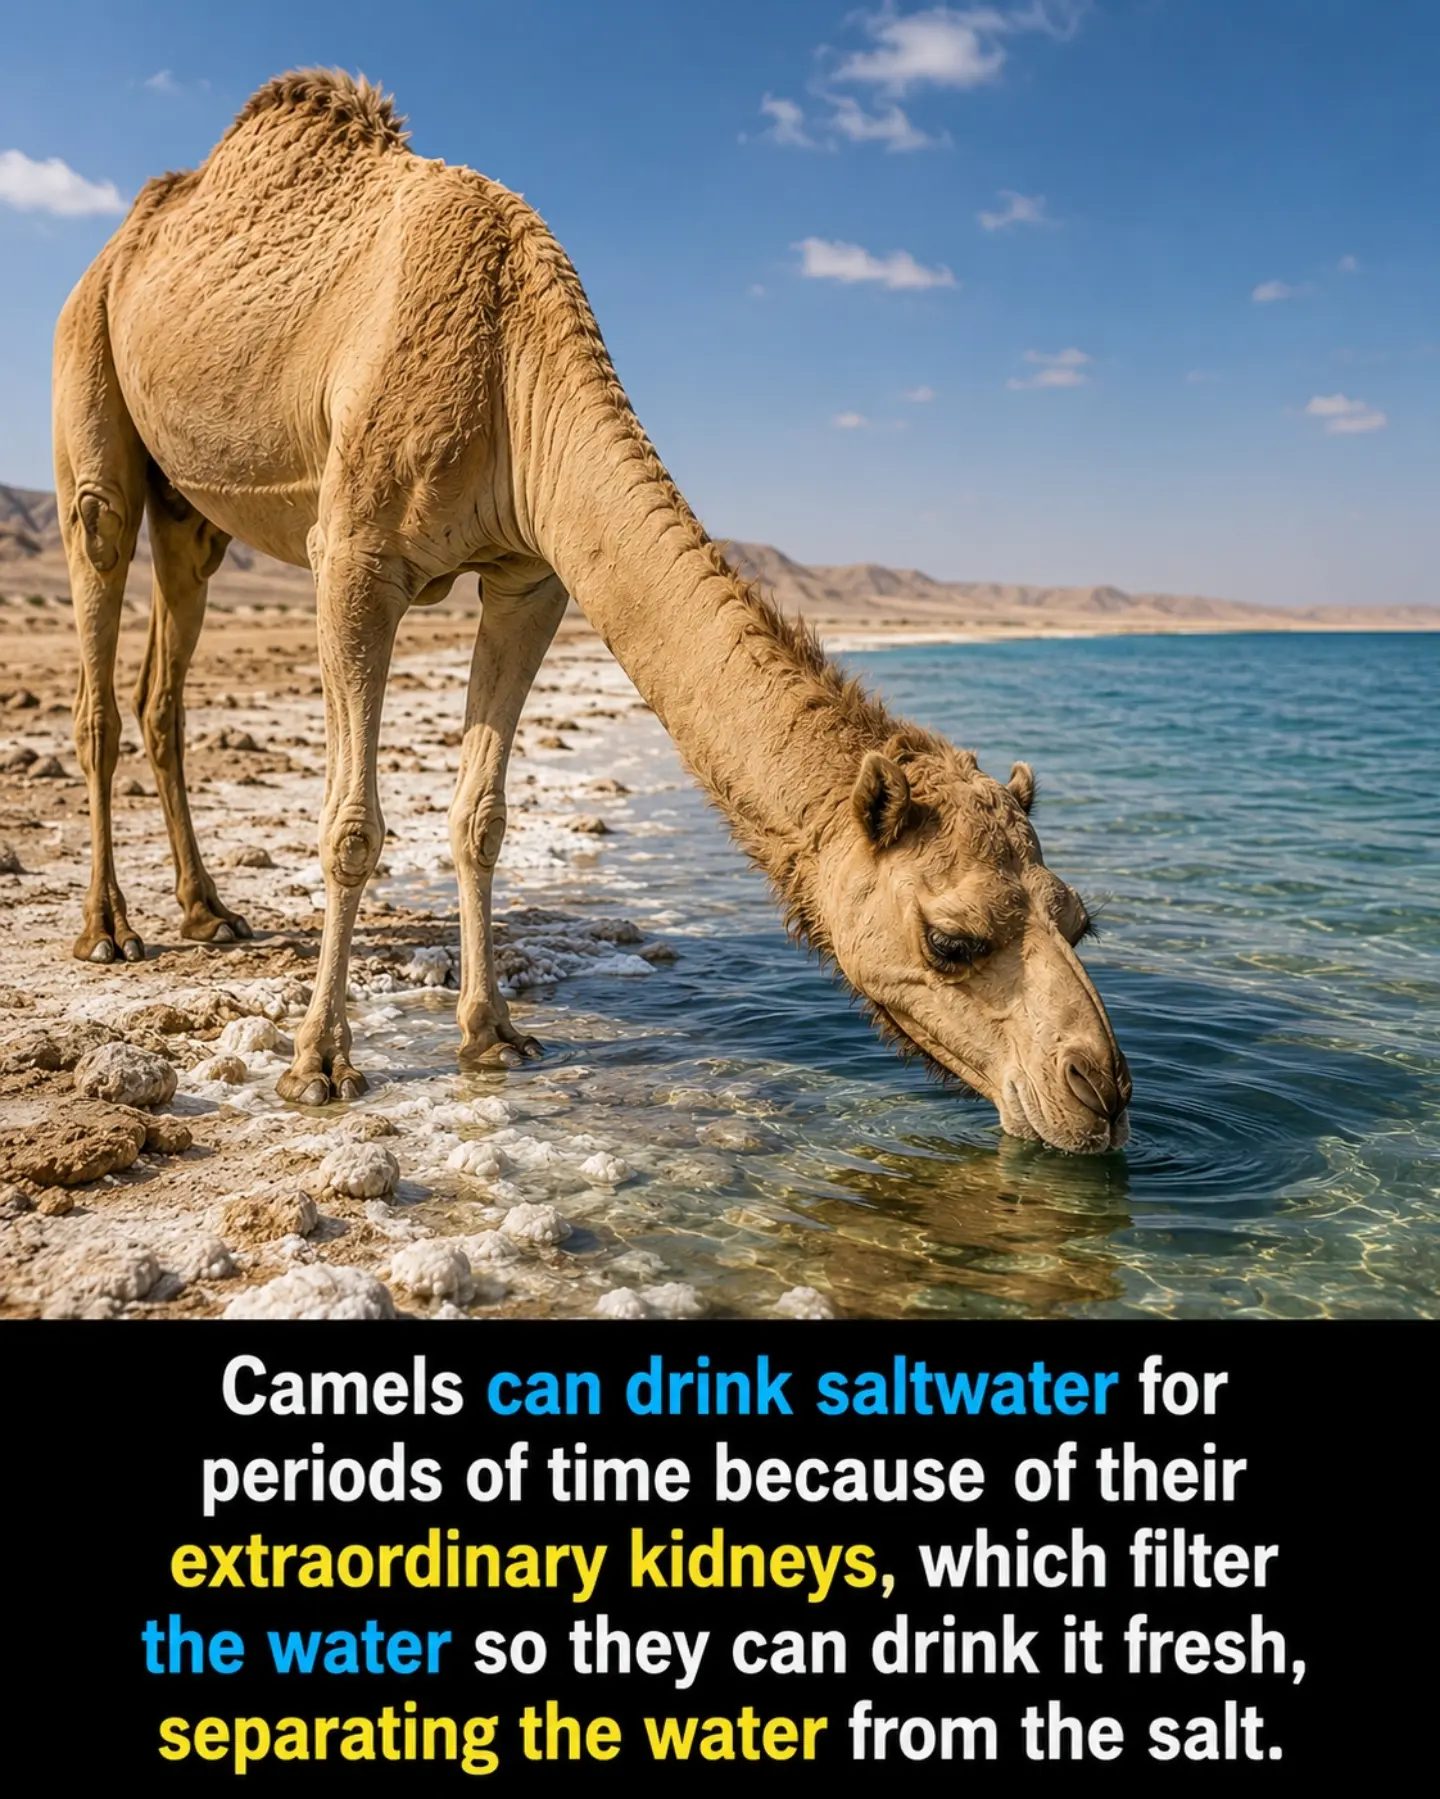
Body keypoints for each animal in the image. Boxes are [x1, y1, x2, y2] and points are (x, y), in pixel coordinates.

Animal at [52, 71, 1130, 1154]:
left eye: (1078, 917)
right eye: (951, 939)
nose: (1103, 1088)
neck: (512, 364)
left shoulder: (531, 574)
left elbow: (481, 814)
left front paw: (492, 1034)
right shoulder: (355, 555)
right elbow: (351, 823)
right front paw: (318, 1063)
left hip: (193, 510)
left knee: (164, 679)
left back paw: (208, 912)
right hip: (90, 389)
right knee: (99, 628)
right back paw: (110, 929)